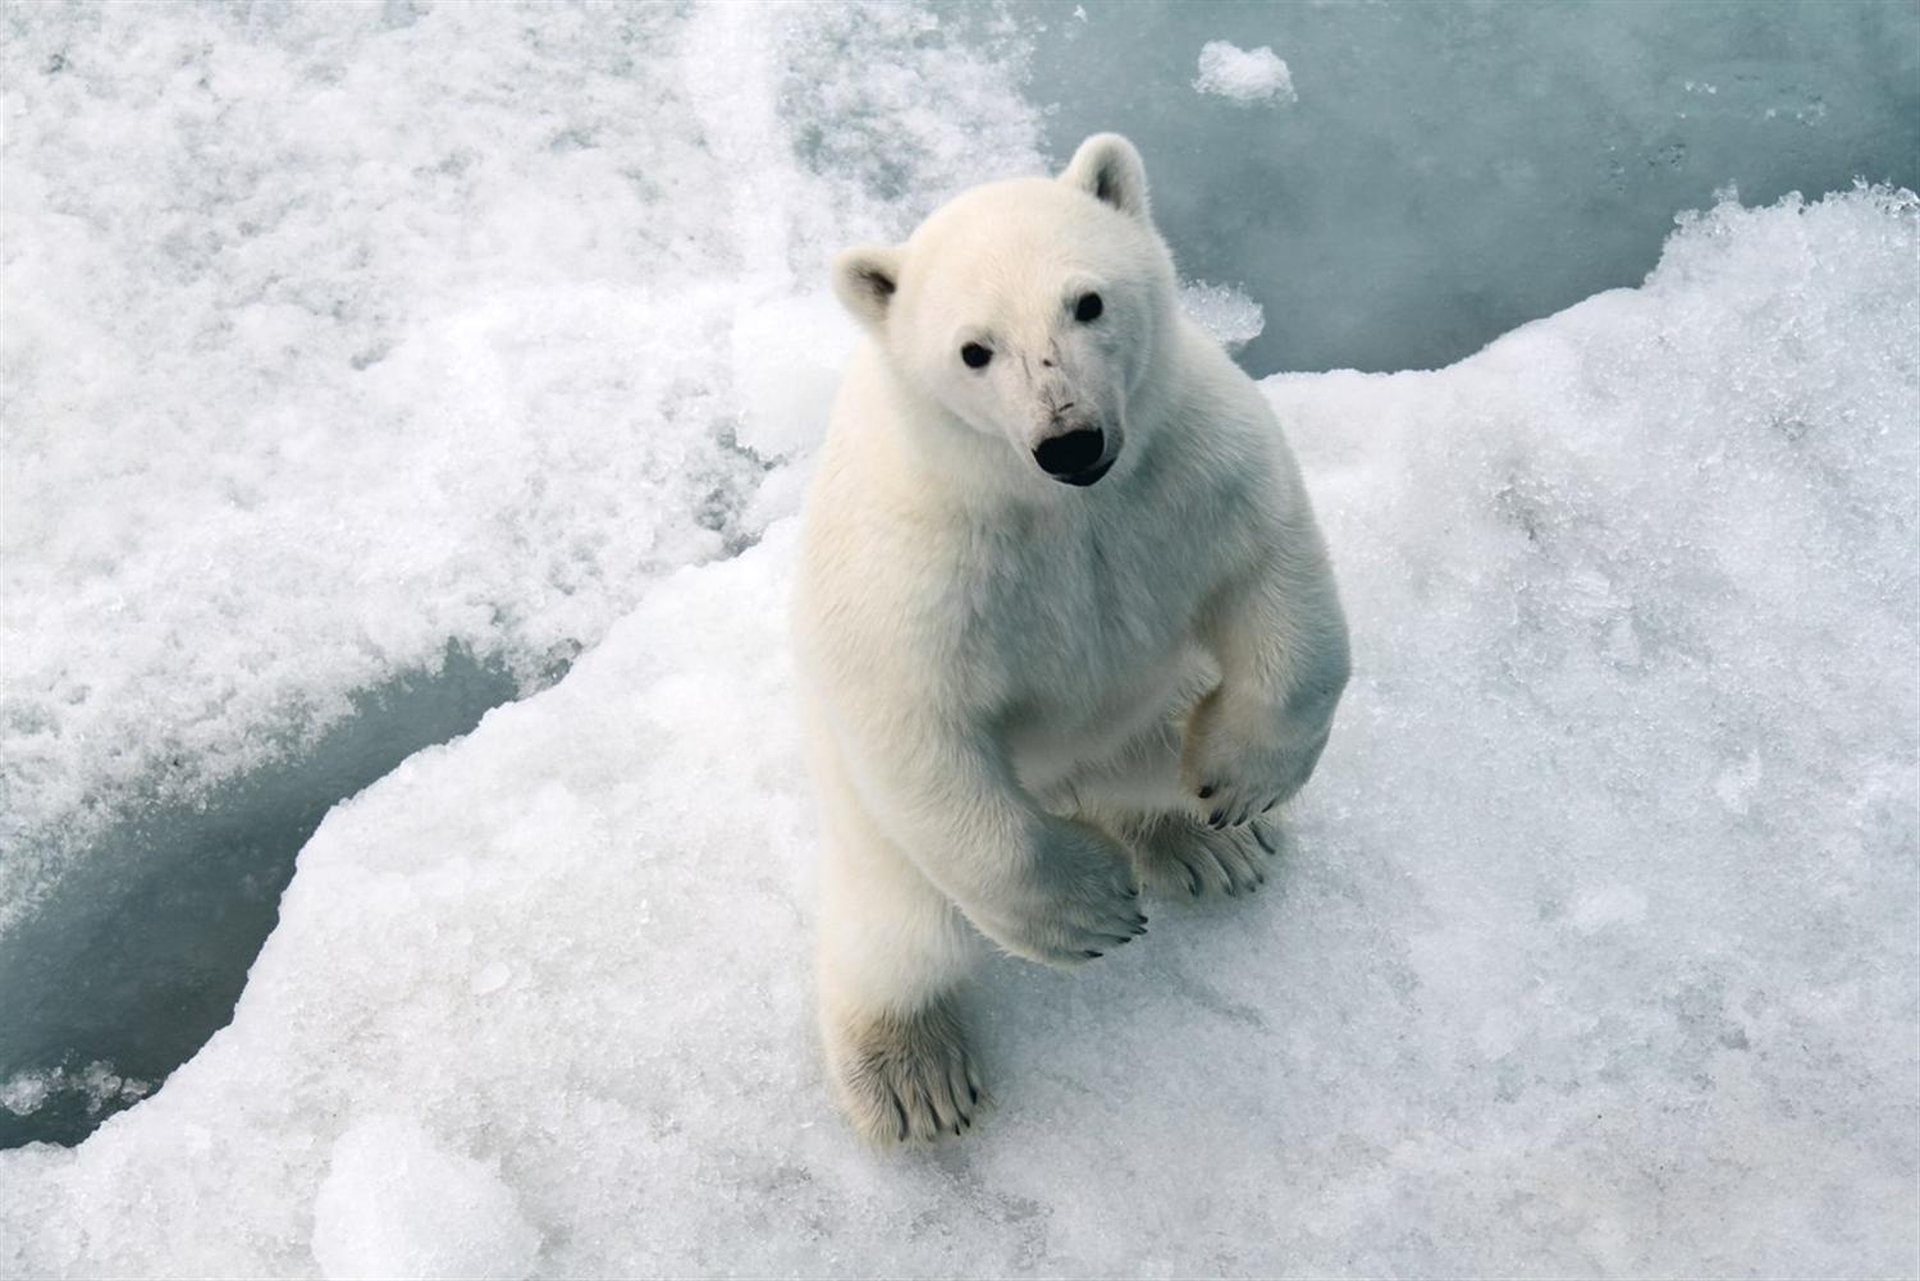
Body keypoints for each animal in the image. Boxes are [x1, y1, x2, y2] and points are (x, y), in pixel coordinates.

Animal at [792, 134, 1350, 1145]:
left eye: (1086, 301)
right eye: (975, 350)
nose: (1071, 441)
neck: (1058, 507)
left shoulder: (1191, 465)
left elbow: (1274, 578)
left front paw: (1240, 787)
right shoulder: (923, 570)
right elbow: (917, 724)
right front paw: (1089, 912)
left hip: (1156, 706)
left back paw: (1206, 846)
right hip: (870, 827)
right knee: (896, 927)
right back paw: (913, 1076)